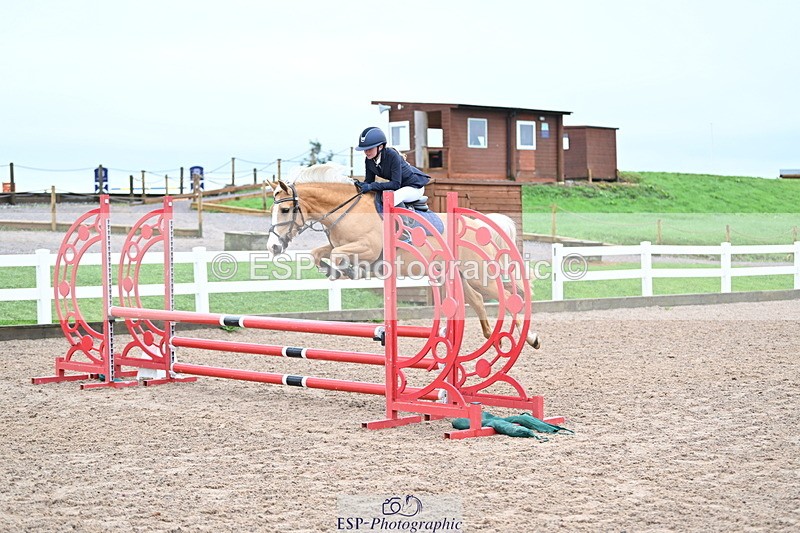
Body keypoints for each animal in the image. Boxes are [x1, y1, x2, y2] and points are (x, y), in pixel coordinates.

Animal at [266, 163, 539, 349]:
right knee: (479, 301)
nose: (273, 247)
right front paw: (333, 270)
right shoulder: (338, 245)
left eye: (285, 209)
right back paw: (494, 341)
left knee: (509, 297)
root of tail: (477, 225)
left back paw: (531, 338)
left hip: (480, 276)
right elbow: (318, 253)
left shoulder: (368, 248)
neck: (347, 210)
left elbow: (337, 256)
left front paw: (347, 270)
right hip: (457, 275)